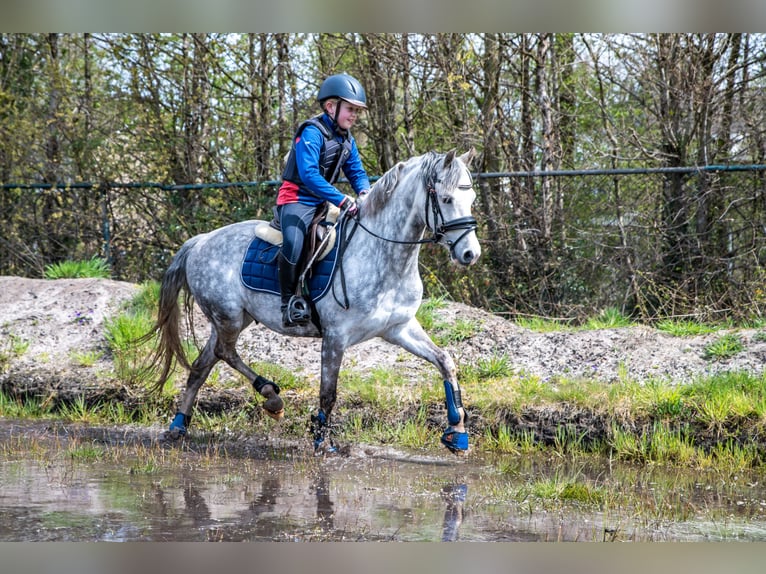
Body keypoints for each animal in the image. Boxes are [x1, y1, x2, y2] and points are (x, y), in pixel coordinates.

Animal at [148, 148, 484, 454]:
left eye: (471, 198)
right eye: (446, 199)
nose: (471, 254)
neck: (384, 255)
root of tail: (200, 241)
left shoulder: (399, 328)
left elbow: (445, 362)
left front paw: (458, 432)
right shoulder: (335, 337)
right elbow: (328, 392)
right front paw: (323, 442)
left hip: (233, 318)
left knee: (202, 365)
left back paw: (179, 425)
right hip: (227, 316)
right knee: (224, 352)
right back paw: (271, 396)